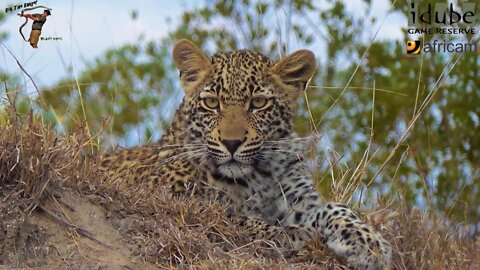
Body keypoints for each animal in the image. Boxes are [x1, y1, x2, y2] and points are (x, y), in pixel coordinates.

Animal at [98, 39, 394, 268]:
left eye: (259, 103)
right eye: (212, 103)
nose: (232, 143)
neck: (258, 175)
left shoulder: (301, 201)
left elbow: (337, 209)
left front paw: (370, 244)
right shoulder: (166, 192)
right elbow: (228, 215)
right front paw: (296, 235)